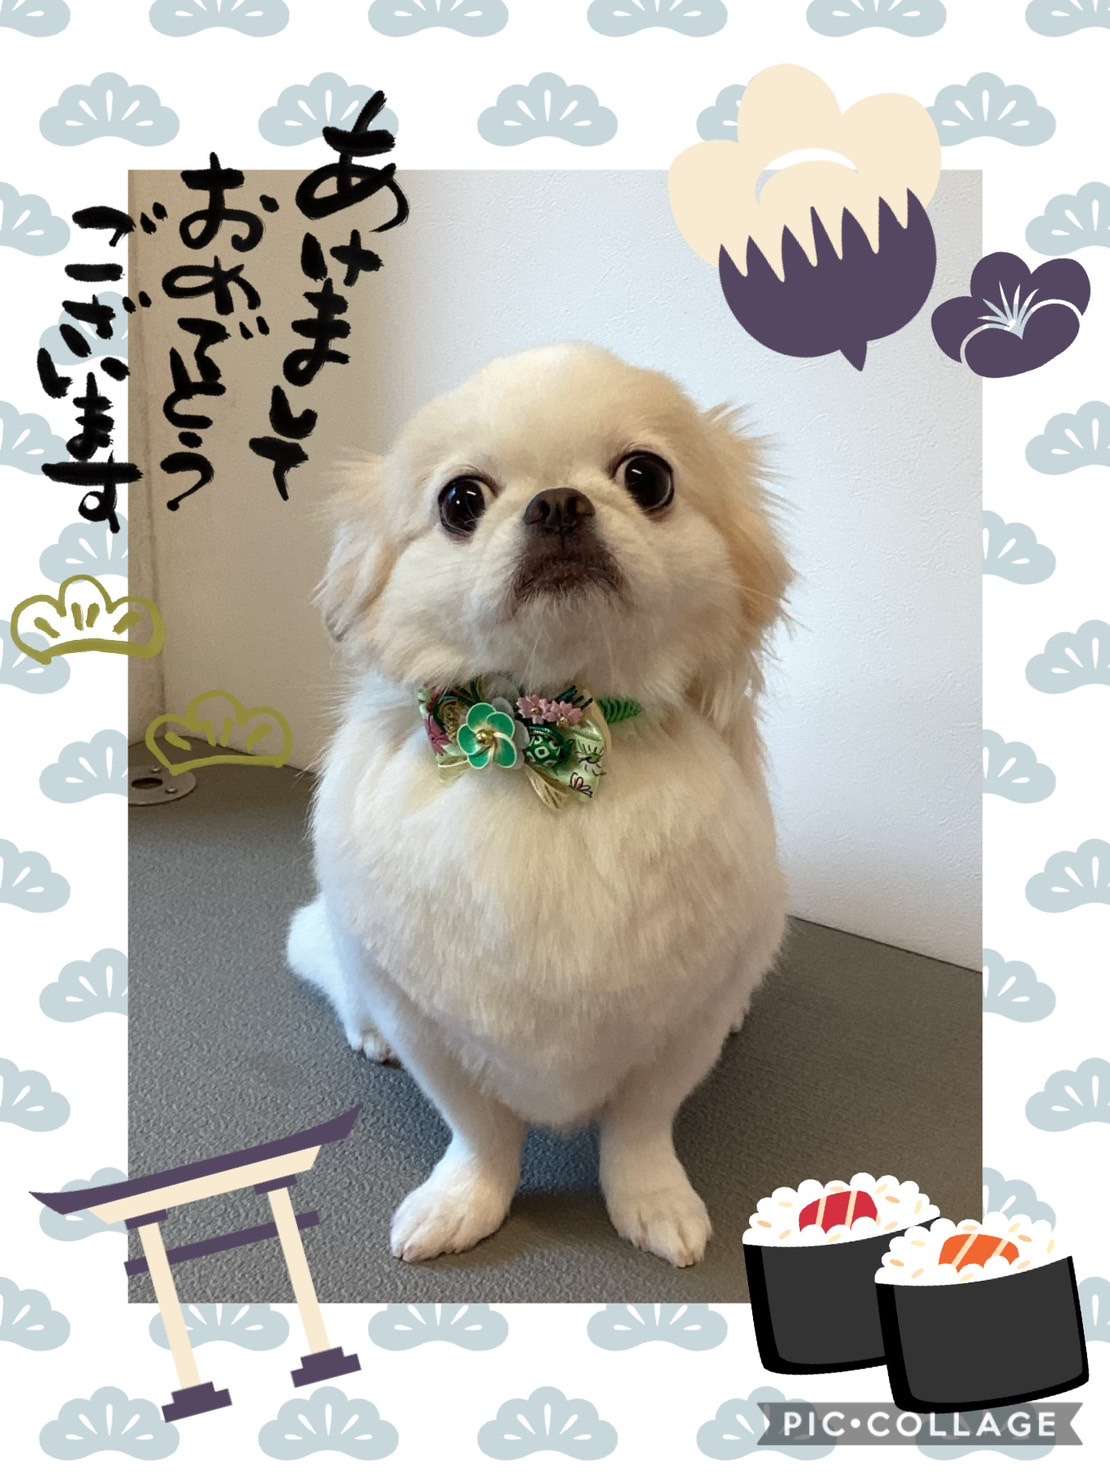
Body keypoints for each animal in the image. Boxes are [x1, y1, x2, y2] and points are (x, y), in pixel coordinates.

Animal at [287, 342, 790, 1266]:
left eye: (648, 477)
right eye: (460, 500)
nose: (558, 502)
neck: (545, 731)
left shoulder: (682, 1023)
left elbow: (640, 1125)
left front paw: (651, 1202)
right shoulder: (429, 1023)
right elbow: (479, 1132)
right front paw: (463, 1202)